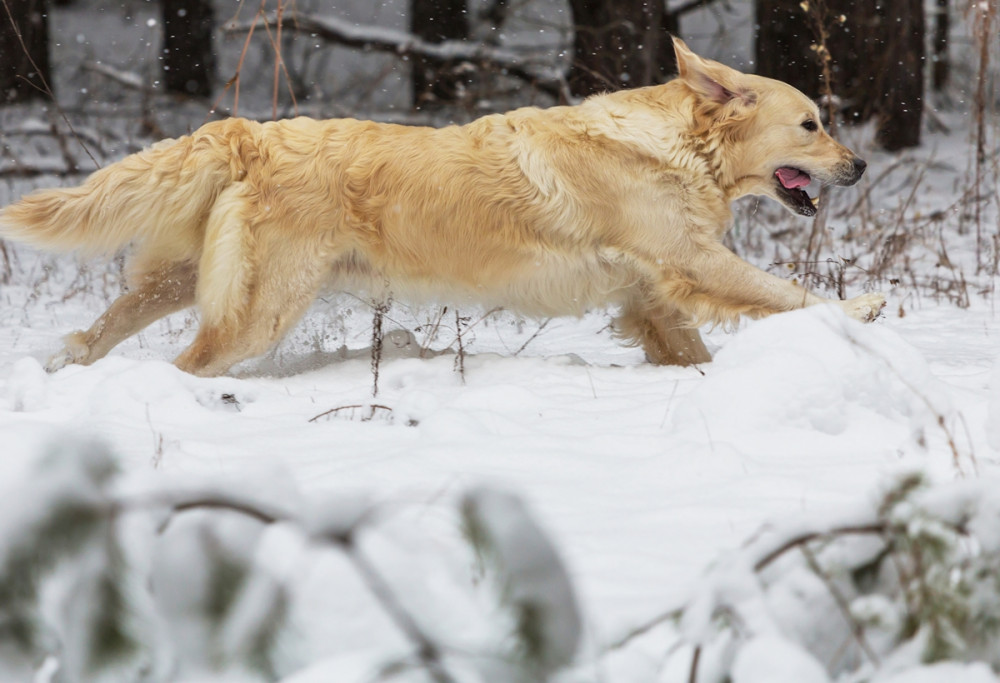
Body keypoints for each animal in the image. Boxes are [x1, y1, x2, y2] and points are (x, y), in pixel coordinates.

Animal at [0, 39, 884, 376]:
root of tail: (251, 133)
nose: (862, 163)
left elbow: (691, 343)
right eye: (812, 123)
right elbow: (784, 290)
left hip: (189, 277)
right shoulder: (689, 259)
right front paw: (861, 311)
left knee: (101, 327)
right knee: (191, 361)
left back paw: (65, 366)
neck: (679, 147)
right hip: (261, 307)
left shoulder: (651, 294)